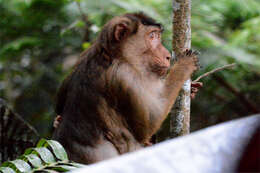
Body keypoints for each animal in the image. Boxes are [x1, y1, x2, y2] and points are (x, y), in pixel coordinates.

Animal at [51, 12, 200, 164]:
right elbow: (151, 120)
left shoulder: (85, 55)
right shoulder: (125, 74)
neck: (110, 55)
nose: (168, 56)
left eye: (158, 36)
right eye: (152, 36)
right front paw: (184, 65)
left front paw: (193, 88)